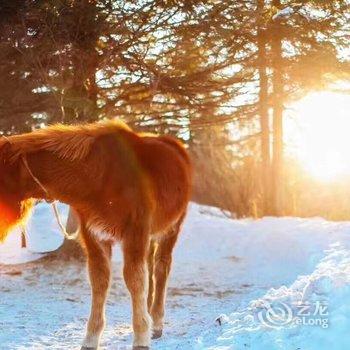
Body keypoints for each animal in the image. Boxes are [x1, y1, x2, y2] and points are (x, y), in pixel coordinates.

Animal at [0, 121, 191, 350]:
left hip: (171, 229)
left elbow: (134, 280)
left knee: (162, 268)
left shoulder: (134, 234)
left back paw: (156, 323)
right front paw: (91, 339)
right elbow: (100, 281)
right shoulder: (94, 237)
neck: (98, 179)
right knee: (151, 267)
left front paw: (141, 338)